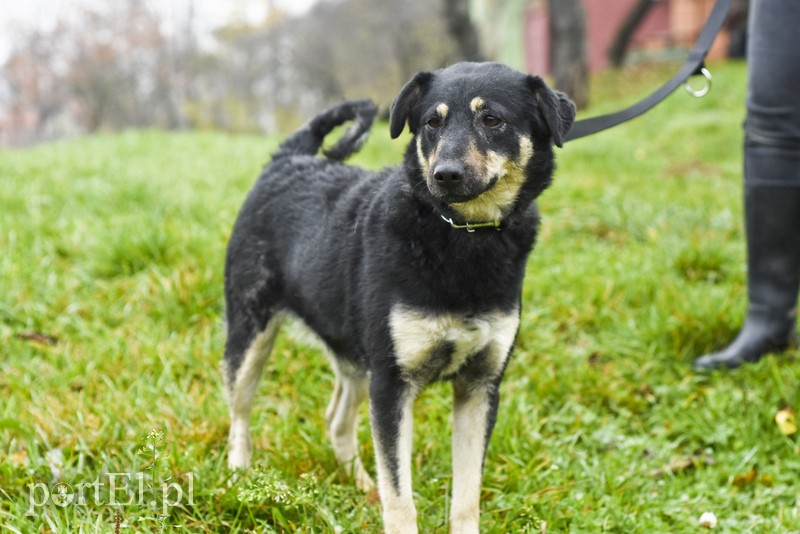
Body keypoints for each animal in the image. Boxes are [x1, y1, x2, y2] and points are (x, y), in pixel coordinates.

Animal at [223, 60, 576, 532]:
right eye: (432, 122)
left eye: (492, 120)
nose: (444, 174)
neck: (461, 233)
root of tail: (287, 159)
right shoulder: (392, 385)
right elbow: (400, 496)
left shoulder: (480, 387)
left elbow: (466, 497)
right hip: (252, 333)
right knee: (240, 413)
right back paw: (239, 475)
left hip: (356, 357)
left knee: (336, 420)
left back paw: (359, 484)